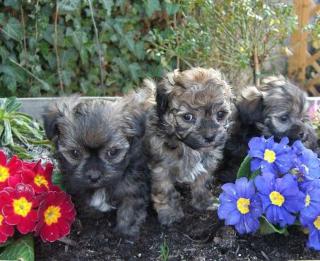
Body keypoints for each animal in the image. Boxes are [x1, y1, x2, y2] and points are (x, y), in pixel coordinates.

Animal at [42, 86, 155, 237]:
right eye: (75, 153)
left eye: (112, 152)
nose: (94, 176)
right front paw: (93, 215)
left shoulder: (133, 188)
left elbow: (130, 211)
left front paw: (126, 233)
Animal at [144, 67, 234, 223]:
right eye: (188, 117)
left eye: (220, 114)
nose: (210, 137)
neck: (186, 146)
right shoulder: (161, 168)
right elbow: (165, 190)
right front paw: (170, 213)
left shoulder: (207, 163)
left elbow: (201, 183)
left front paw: (204, 202)